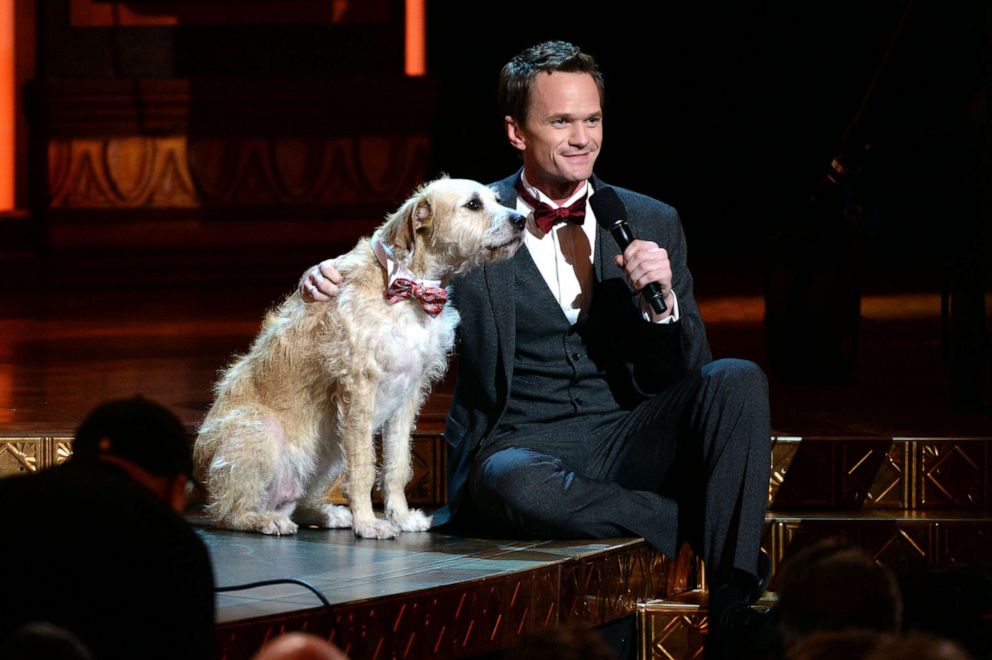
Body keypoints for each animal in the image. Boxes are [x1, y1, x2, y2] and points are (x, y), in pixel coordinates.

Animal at [193, 179, 528, 536]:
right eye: (473, 205)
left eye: (497, 200)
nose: (521, 220)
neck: (408, 287)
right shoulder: (358, 390)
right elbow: (364, 469)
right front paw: (368, 524)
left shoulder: (408, 395)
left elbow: (397, 465)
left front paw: (401, 517)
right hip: (260, 433)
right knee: (229, 513)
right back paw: (263, 519)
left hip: (328, 450)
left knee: (296, 503)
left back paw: (327, 514)